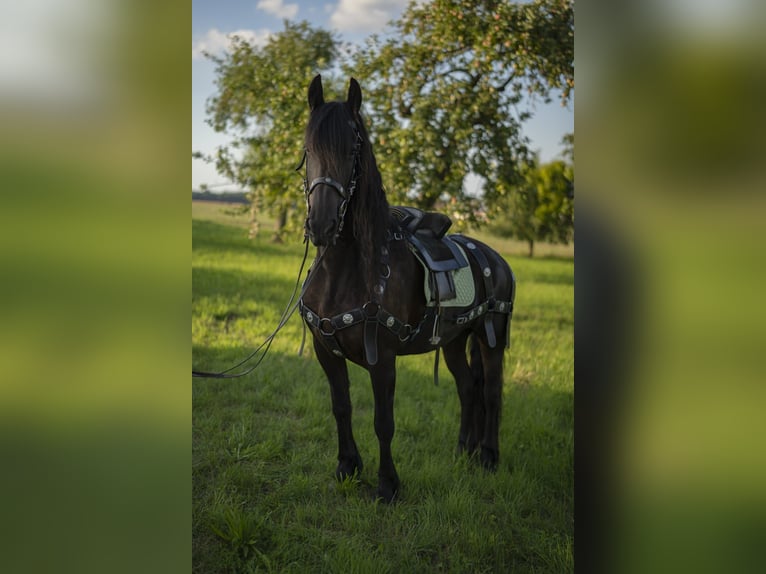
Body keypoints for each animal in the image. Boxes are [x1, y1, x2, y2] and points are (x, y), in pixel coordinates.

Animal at [300, 76, 516, 504]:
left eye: (352, 150)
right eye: (308, 148)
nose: (321, 225)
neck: (349, 269)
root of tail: (494, 257)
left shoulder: (383, 358)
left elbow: (384, 421)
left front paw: (387, 485)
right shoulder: (325, 351)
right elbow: (341, 407)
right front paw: (348, 467)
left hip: (492, 336)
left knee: (491, 392)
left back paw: (488, 456)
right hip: (454, 342)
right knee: (468, 388)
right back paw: (463, 451)